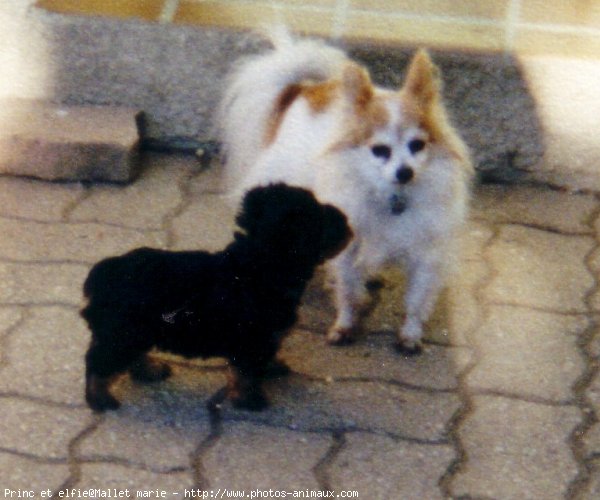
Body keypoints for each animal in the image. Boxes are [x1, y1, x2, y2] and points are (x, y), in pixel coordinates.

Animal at [81, 184, 352, 410]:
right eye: (321, 219)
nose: (347, 220)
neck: (259, 264)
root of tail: (105, 273)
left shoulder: (264, 339)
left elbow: (263, 359)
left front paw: (273, 367)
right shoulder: (252, 341)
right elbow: (246, 374)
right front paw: (251, 401)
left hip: (134, 333)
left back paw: (150, 370)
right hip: (122, 333)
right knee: (98, 364)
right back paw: (100, 399)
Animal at [217, 30, 474, 352]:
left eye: (417, 145)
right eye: (380, 150)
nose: (405, 171)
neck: (390, 196)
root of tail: (303, 88)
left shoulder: (424, 253)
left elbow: (417, 298)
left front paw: (411, 334)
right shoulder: (349, 247)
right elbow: (349, 291)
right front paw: (345, 325)